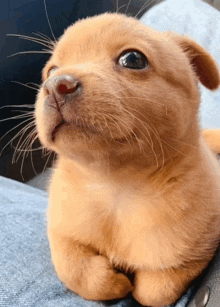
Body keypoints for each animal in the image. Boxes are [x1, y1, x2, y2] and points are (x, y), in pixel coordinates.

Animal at [34, 12, 220, 307]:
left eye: (133, 59)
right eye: (51, 71)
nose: (55, 85)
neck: (115, 186)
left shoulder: (198, 251)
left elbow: (155, 291)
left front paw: (132, 284)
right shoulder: (60, 231)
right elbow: (74, 269)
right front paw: (113, 283)